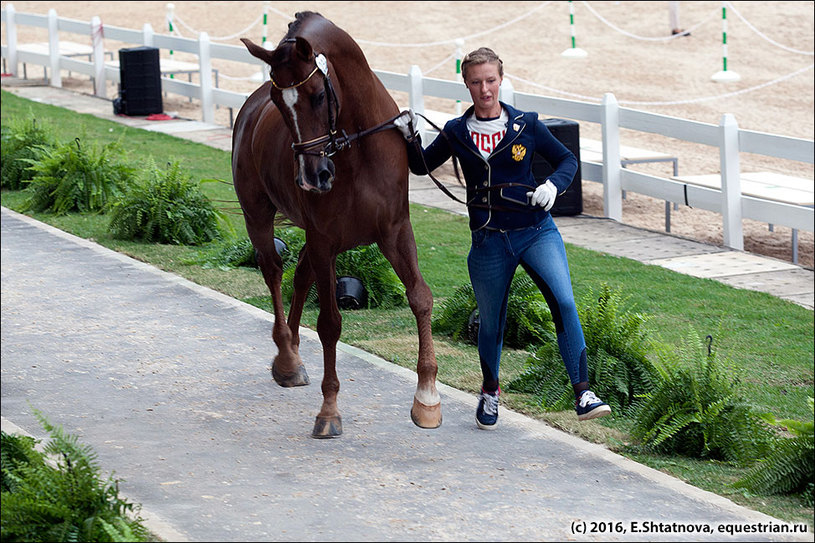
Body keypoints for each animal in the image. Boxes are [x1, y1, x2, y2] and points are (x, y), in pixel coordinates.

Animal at [233, 11, 444, 438]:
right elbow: (330, 323)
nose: (313, 176)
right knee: (273, 270)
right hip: (259, 217)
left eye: (317, 95)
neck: (356, 148)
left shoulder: (395, 232)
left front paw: (427, 398)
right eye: (279, 102)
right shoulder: (325, 240)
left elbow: (420, 297)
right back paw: (287, 357)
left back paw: (291, 352)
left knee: (299, 275)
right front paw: (329, 411)